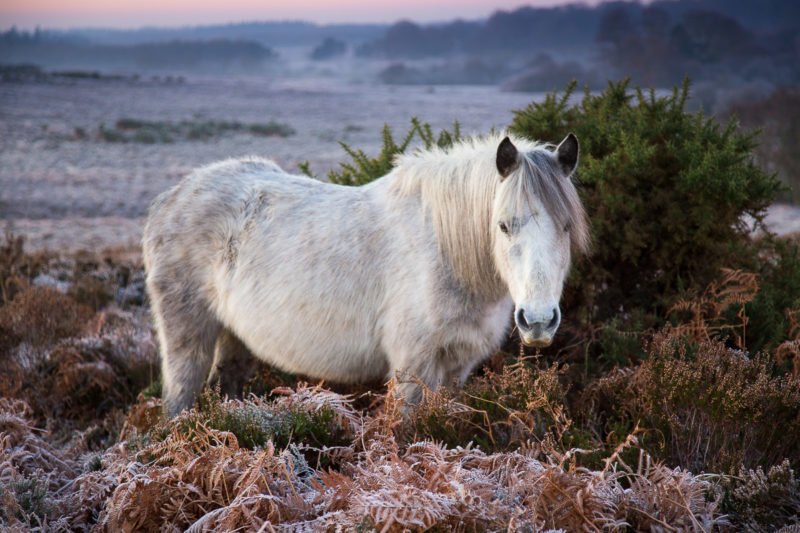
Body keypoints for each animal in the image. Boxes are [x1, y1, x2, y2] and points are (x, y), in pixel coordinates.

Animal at [142, 134, 588, 416]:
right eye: (503, 225)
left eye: (566, 227)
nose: (538, 321)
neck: (446, 252)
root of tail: (172, 196)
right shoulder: (413, 367)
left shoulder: (456, 368)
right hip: (187, 340)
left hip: (236, 339)